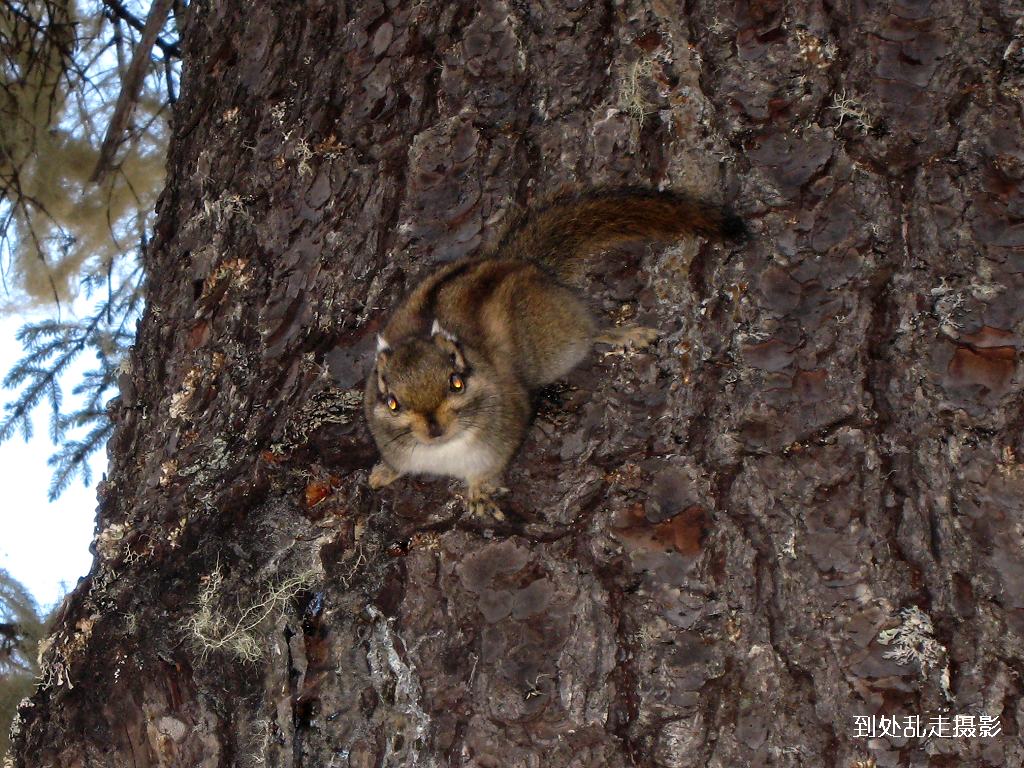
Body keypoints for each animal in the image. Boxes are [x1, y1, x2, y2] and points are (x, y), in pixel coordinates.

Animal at [364, 189, 741, 520]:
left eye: (456, 383)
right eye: (393, 402)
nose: (434, 429)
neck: (442, 450)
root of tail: (518, 262)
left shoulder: (504, 431)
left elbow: (488, 469)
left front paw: (478, 493)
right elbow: (396, 463)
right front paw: (383, 473)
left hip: (561, 344)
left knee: (590, 332)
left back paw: (624, 334)